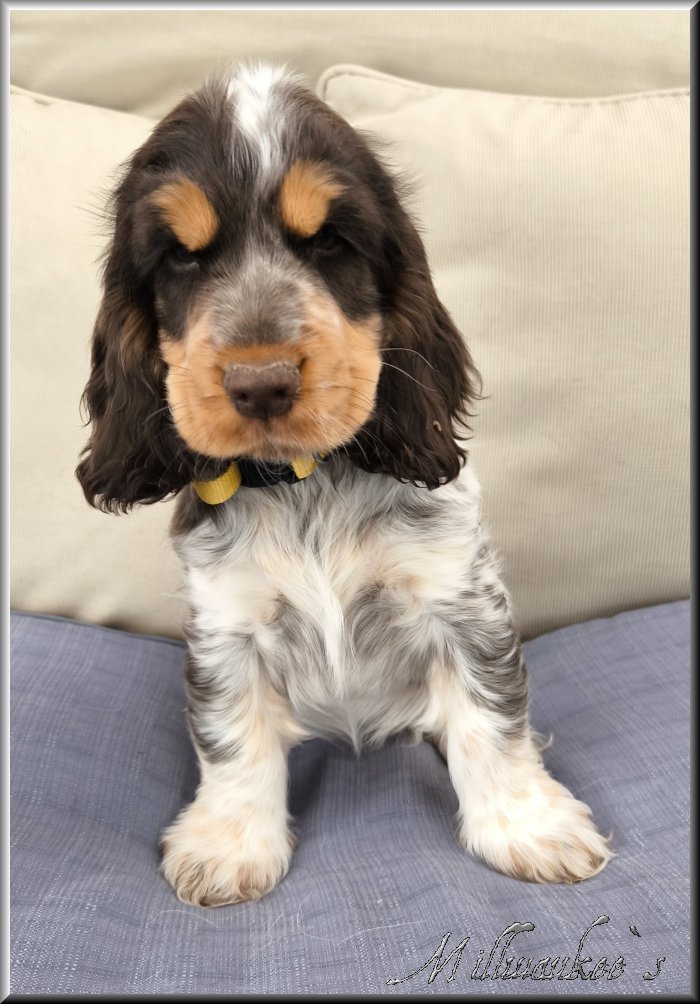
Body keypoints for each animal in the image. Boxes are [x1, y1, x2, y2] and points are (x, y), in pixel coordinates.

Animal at [76, 63, 612, 907]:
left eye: (329, 241)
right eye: (179, 259)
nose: (260, 383)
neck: (307, 483)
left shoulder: (461, 601)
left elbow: (491, 718)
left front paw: (529, 829)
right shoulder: (227, 624)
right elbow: (232, 738)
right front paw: (228, 845)